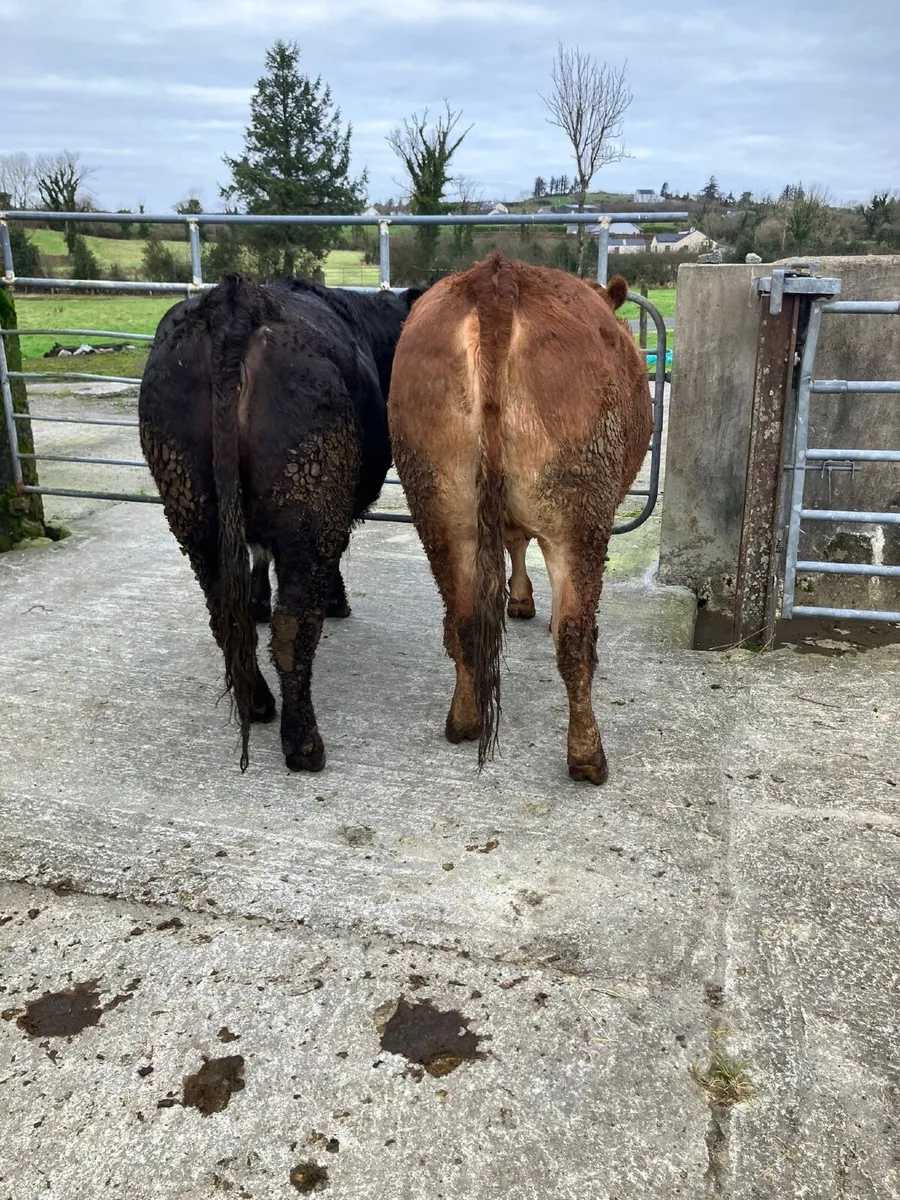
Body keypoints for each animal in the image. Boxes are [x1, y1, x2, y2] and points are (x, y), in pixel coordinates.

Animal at [139, 274, 425, 773]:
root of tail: (235, 303)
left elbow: (256, 560)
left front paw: (257, 601)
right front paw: (335, 600)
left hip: (191, 506)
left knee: (225, 616)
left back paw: (256, 702)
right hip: (311, 499)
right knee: (293, 624)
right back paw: (303, 743)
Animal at [388, 255, 652, 784]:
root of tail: (496, 278)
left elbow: (513, 543)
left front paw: (520, 597)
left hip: (439, 509)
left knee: (464, 622)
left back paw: (463, 719)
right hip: (580, 512)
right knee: (573, 637)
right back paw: (587, 755)